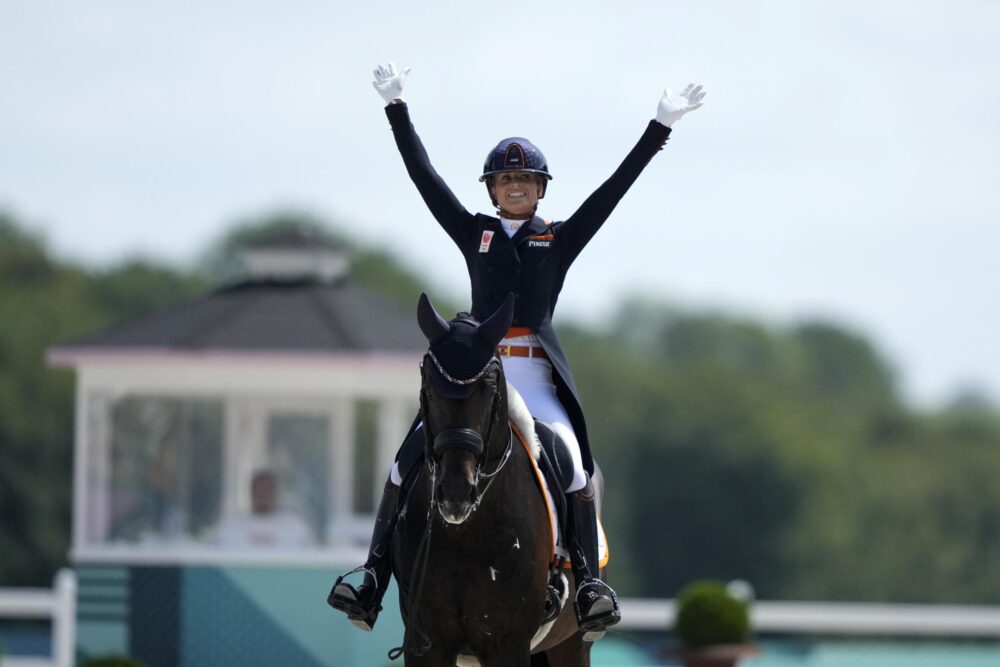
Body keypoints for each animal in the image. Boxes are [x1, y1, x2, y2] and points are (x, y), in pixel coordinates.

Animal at [388, 296, 604, 667]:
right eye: (428, 387)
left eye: (488, 389)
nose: (456, 494)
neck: (465, 535)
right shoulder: (426, 645)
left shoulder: (508, 644)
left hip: (572, 643)